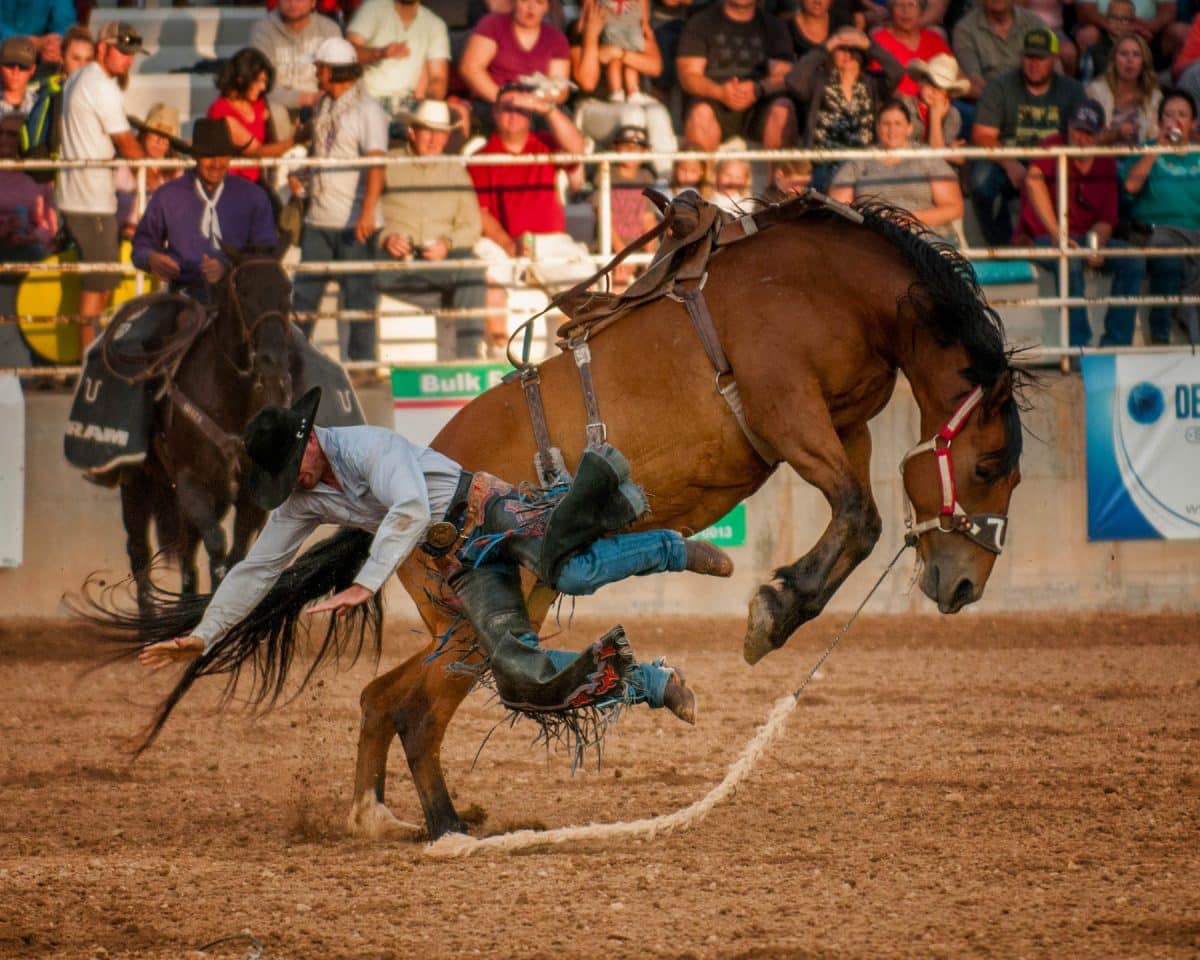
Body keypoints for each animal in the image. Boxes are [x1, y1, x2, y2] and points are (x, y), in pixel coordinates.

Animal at [84, 194, 1027, 840]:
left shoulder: (848, 426)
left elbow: (861, 510)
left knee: (389, 695)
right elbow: (860, 518)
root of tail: (396, 497)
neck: (825, 284)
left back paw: (384, 815)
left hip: (484, 616)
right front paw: (774, 610)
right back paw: (447, 827)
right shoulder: (786, 410)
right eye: (989, 465)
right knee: (424, 708)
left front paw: (777, 602)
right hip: (481, 617)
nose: (964, 584)